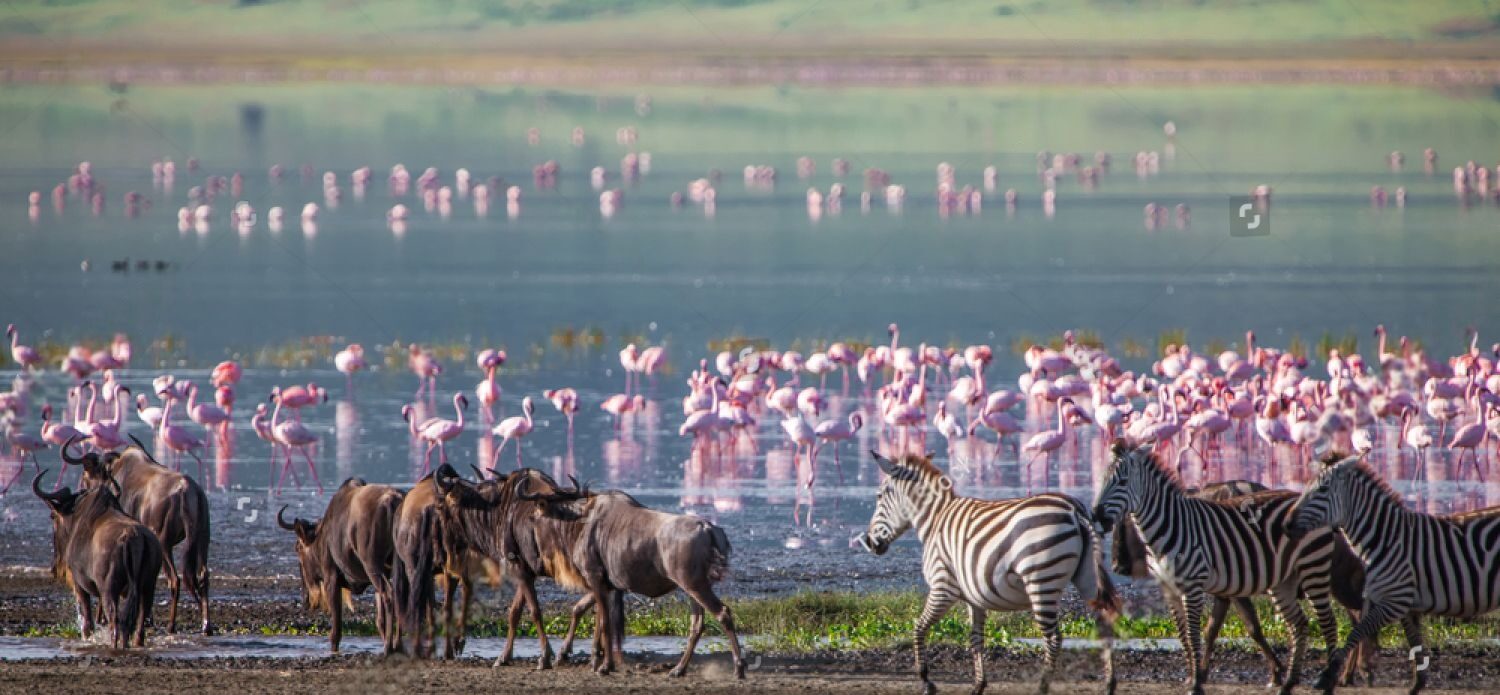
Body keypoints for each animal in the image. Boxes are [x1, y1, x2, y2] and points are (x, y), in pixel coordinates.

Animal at [856, 451, 1118, 695]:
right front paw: (978, 685)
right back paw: (1109, 685)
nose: (869, 542)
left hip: (1041, 581)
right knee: (1103, 627)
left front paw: (926, 681)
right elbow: (976, 639)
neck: (934, 520)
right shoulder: (975, 597)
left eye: (879, 496)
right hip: (1088, 578)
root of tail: (1074, 509)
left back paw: (1041, 687)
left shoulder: (943, 587)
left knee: (1053, 639)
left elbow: (919, 627)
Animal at [1091, 441, 1342, 695]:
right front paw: (1192, 677)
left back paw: (1327, 682)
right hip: (1283, 581)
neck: (1170, 525)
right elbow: (1183, 634)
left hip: (1313, 568)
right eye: (1102, 480)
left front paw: (1195, 684)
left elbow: (1195, 633)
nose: (1096, 515)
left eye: (1122, 482)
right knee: (1299, 624)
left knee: (1329, 623)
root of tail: (1299, 497)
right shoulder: (1169, 589)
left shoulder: (1193, 586)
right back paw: (1289, 683)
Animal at [1291, 453, 1500, 694]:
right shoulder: (1406, 604)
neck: (1385, 539)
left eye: (1322, 489)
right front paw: (1417, 685)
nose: (1287, 524)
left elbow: (1357, 632)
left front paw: (1328, 674)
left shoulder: (1394, 601)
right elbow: (1414, 642)